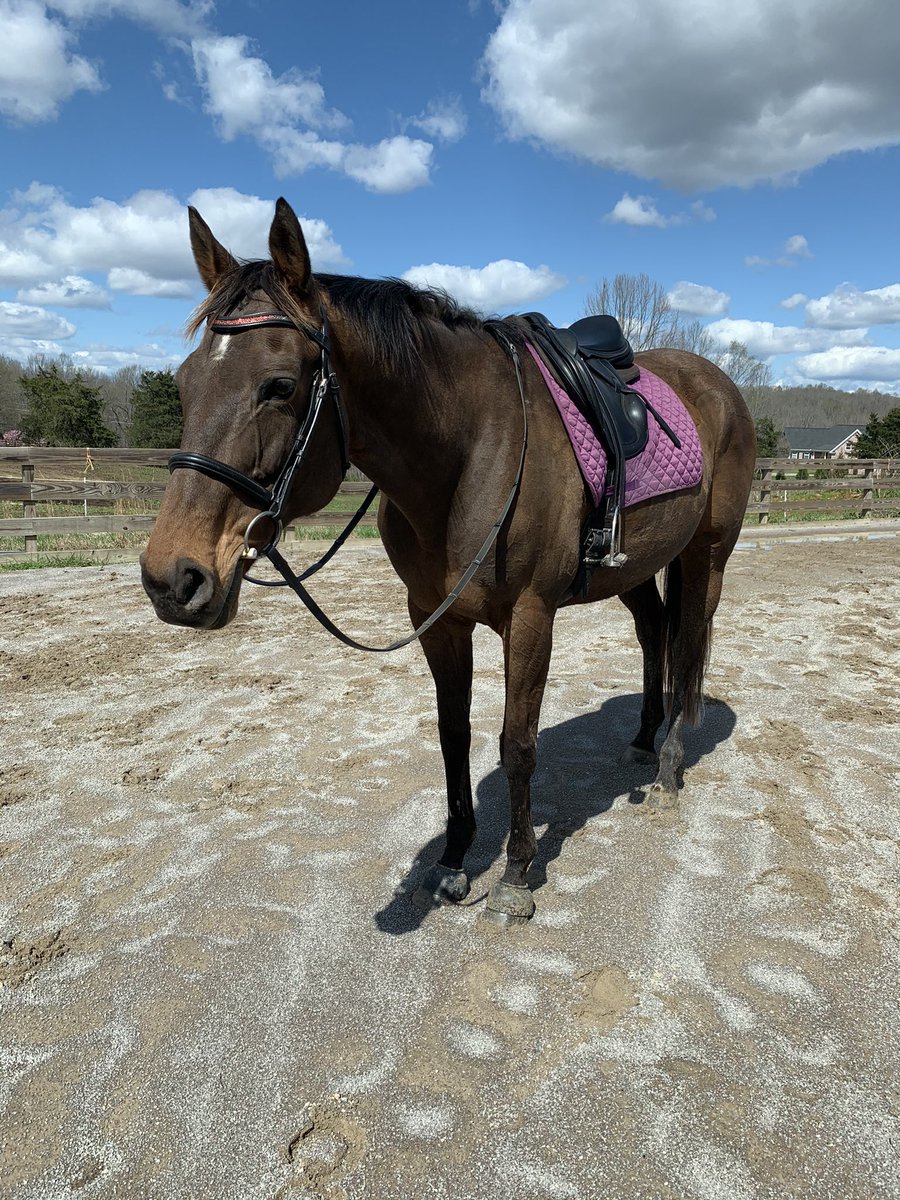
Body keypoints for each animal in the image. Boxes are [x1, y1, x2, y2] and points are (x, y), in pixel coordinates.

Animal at [141, 198, 756, 925]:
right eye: (185, 384)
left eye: (280, 385)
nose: (171, 578)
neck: (467, 454)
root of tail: (717, 384)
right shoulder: (437, 620)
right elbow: (453, 735)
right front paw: (454, 861)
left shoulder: (530, 619)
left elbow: (517, 743)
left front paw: (516, 875)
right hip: (633, 566)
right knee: (655, 630)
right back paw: (640, 739)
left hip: (705, 557)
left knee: (689, 645)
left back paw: (667, 768)